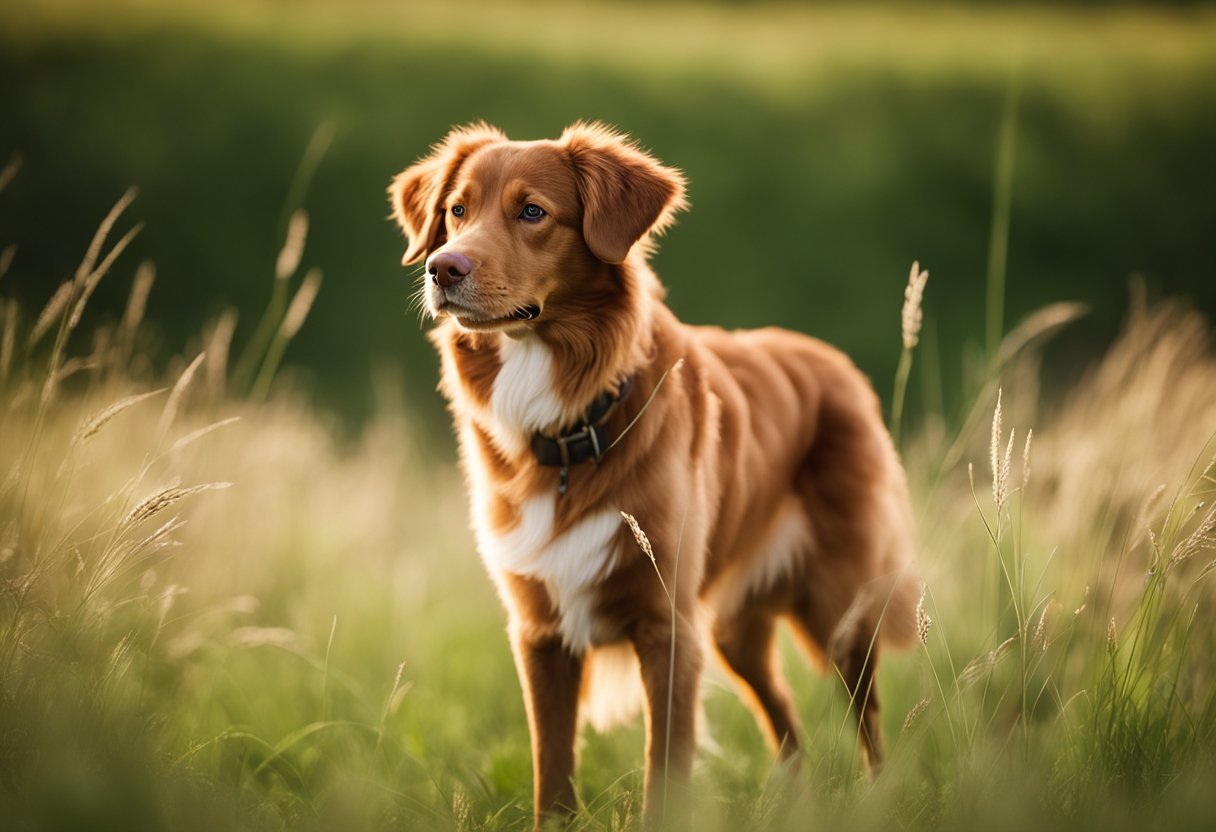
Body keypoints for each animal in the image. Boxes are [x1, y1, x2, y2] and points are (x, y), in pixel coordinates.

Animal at [393, 121, 914, 827]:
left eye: (532, 212)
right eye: (456, 211)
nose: (442, 268)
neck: (571, 425)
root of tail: (837, 363)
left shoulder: (668, 629)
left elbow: (664, 769)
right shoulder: (540, 634)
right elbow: (551, 770)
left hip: (841, 608)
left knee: (868, 718)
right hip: (734, 631)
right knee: (786, 716)